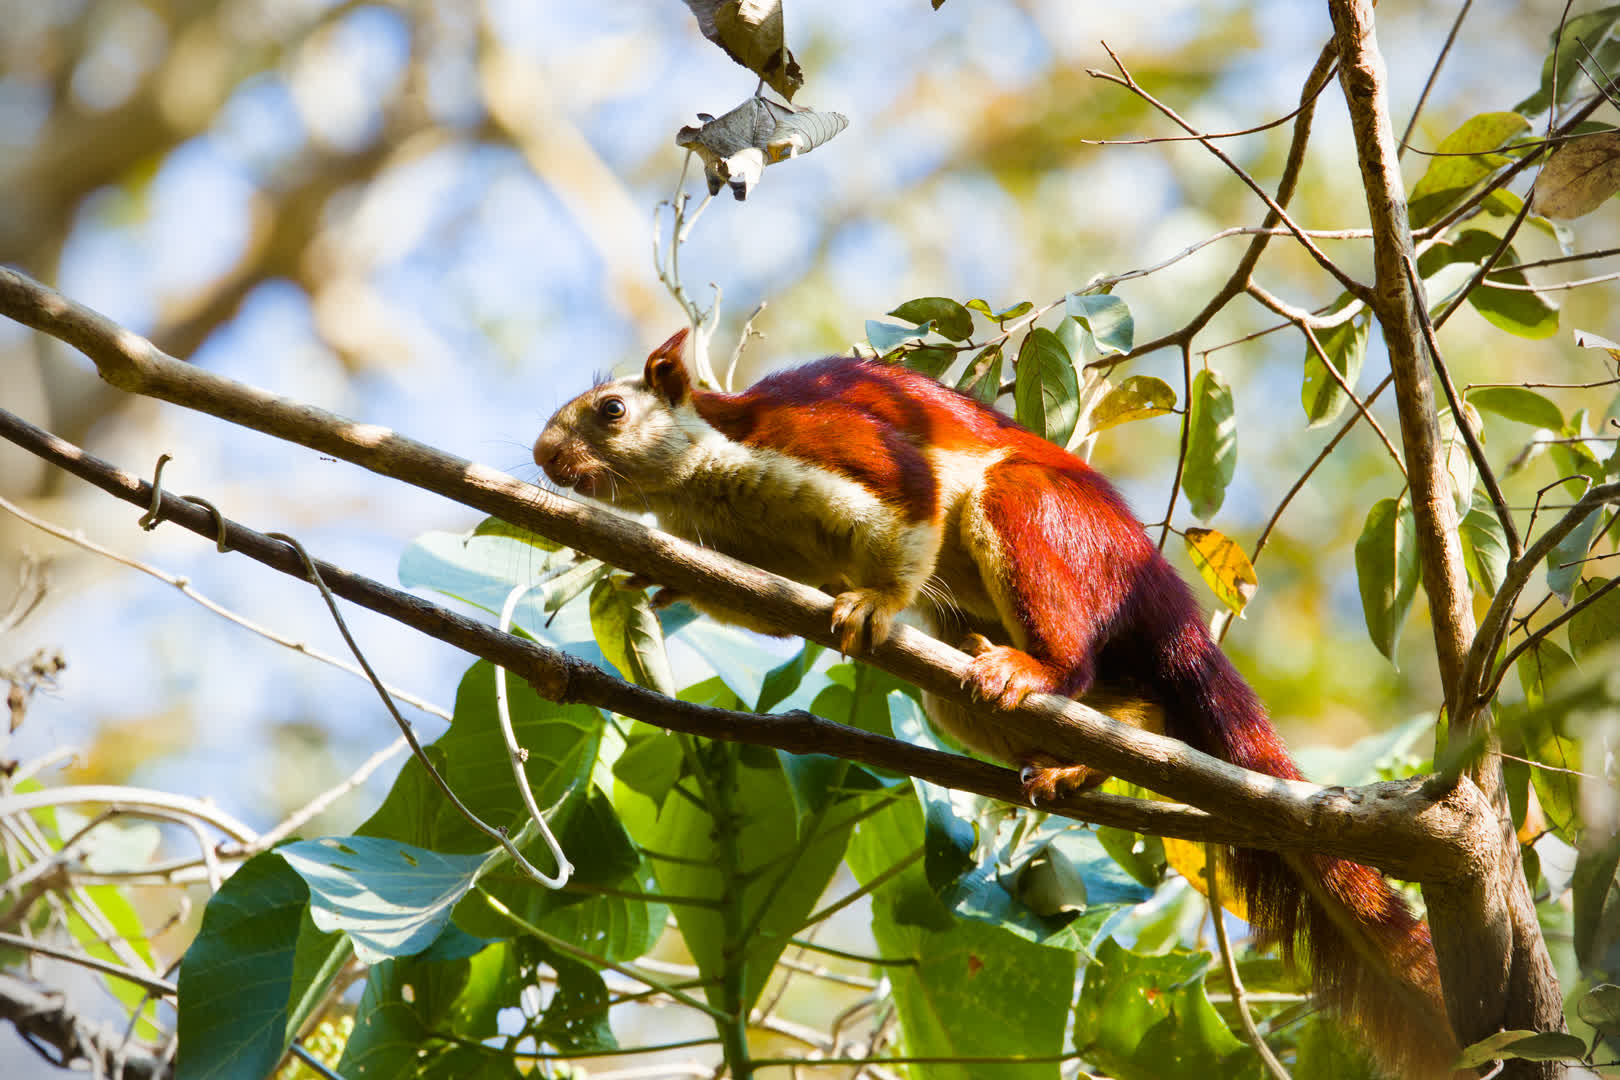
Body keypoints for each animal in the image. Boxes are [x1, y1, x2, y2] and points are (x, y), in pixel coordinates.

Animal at [534, 327, 1459, 1078]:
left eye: (610, 410)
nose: (543, 458)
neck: (708, 480)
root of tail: (1168, 604)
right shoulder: (761, 558)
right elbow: (766, 602)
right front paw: (650, 577)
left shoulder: (840, 452)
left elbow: (911, 510)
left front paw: (874, 606)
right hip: (975, 673)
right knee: (1125, 707)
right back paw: (1080, 763)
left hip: (1038, 519)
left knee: (1068, 649)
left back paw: (1036, 675)